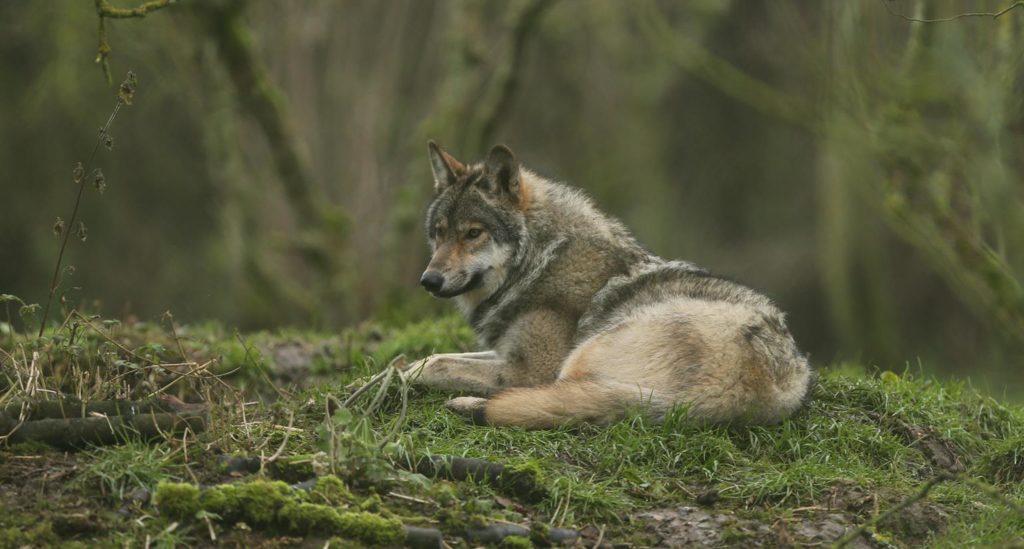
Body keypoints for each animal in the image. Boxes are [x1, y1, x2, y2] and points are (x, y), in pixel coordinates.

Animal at [403, 142, 811, 428]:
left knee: (556, 399)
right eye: (439, 233)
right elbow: (435, 356)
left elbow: (439, 363)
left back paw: (469, 406)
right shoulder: (506, 353)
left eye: (473, 233)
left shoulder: (531, 368)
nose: (429, 280)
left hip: (581, 357)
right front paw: (400, 368)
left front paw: (403, 377)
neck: (539, 259)